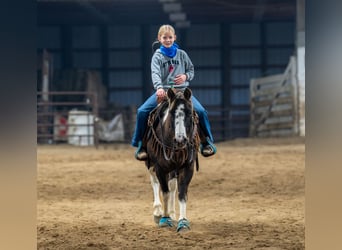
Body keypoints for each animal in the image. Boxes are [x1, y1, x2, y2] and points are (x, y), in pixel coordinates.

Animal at [143, 87, 202, 232]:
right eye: (171, 113)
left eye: (189, 113)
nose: (180, 140)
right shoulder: (160, 167)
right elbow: (164, 191)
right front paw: (164, 219)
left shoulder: (187, 166)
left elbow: (181, 193)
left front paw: (183, 221)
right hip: (150, 163)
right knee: (155, 182)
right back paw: (158, 212)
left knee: (173, 187)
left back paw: (172, 213)